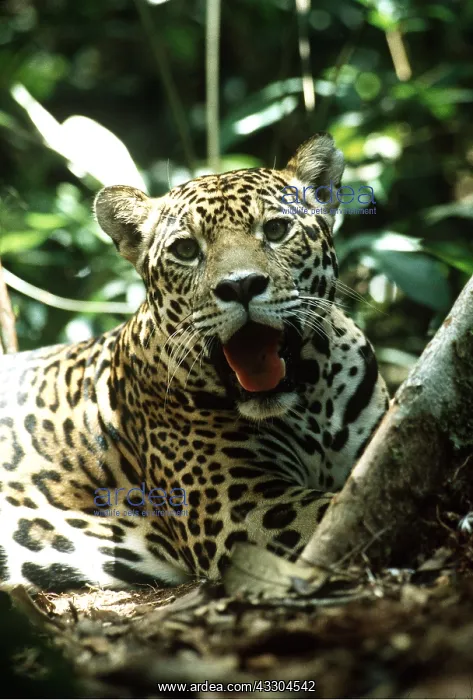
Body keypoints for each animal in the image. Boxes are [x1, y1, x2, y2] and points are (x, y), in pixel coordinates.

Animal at [0, 133, 389, 592]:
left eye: (276, 229)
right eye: (186, 250)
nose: (241, 286)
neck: (311, 400)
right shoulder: (240, 508)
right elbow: (340, 511)